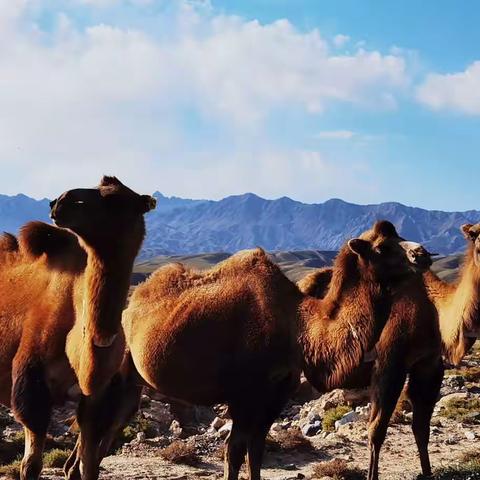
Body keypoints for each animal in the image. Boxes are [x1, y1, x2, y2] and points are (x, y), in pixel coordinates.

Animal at [0, 176, 155, 480]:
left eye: (116, 199)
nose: (59, 201)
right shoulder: (31, 385)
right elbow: (30, 466)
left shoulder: (98, 396)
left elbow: (87, 466)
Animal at [298, 223, 480, 480]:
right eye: (476, 235)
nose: (420, 254)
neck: (433, 311)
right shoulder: (390, 363)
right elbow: (377, 429)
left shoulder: (430, 365)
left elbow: (421, 427)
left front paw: (427, 473)